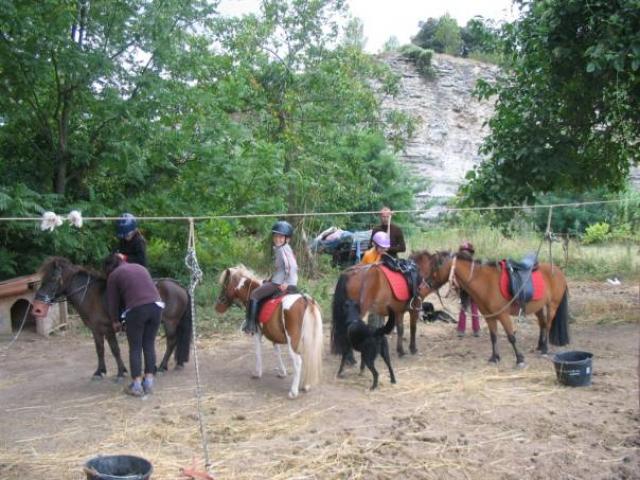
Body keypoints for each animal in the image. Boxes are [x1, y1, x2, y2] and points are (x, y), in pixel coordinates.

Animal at [31, 256, 192, 380]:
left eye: (52, 278)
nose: (38, 304)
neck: (90, 295)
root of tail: (179, 286)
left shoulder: (108, 329)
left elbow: (115, 350)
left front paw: (121, 372)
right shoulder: (96, 330)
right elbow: (100, 350)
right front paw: (99, 371)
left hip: (170, 322)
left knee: (171, 342)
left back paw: (162, 366)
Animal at [216, 264, 324, 400]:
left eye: (225, 284)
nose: (218, 306)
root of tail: (305, 300)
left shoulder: (257, 333)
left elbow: (258, 352)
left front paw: (257, 373)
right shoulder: (273, 334)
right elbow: (277, 352)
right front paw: (282, 372)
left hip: (293, 341)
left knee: (298, 361)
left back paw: (293, 391)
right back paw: (306, 385)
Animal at [416, 249, 568, 366]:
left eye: (435, 268)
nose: (421, 289)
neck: (486, 283)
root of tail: (558, 271)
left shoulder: (503, 315)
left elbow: (511, 337)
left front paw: (519, 359)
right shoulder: (490, 317)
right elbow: (493, 337)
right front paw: (495, 358)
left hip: (552, 306)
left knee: (548, 325)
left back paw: (545, 349)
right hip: (538, 308)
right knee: (542, 324)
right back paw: (540, 346)